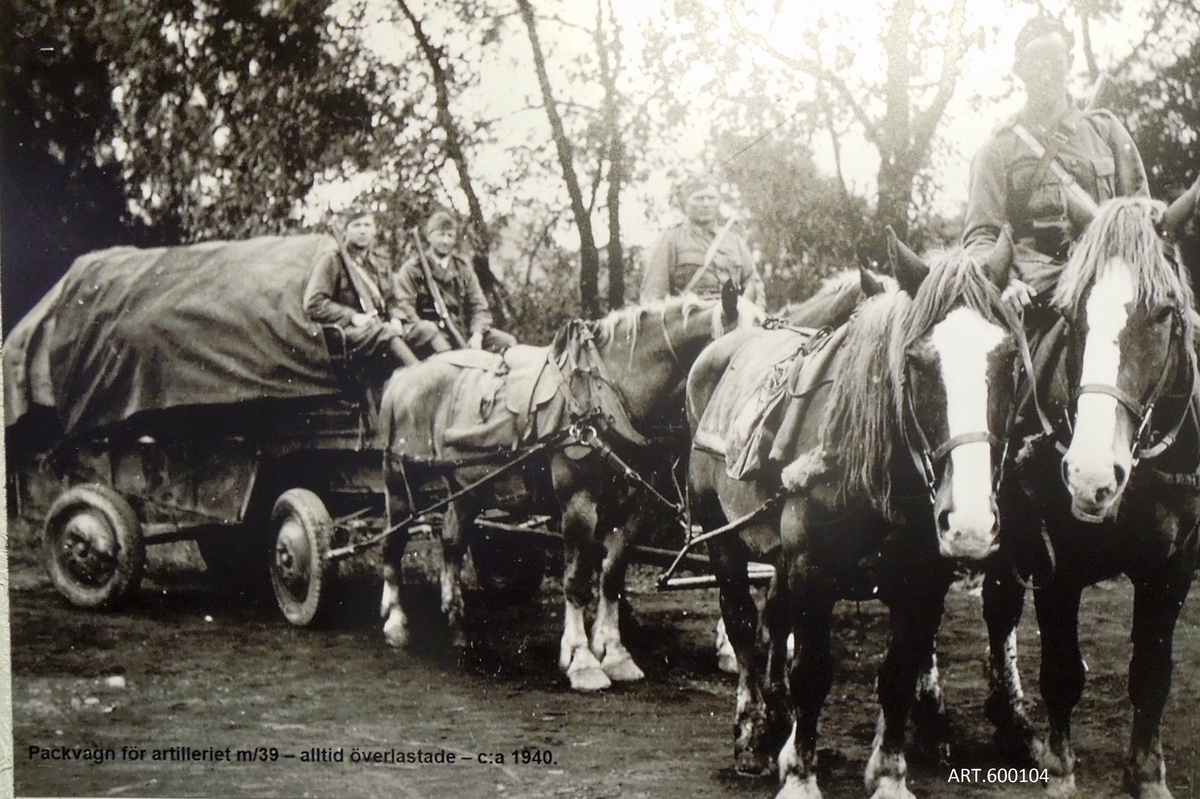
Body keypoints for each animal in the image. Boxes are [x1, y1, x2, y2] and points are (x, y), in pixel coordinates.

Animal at [379, 287, 763, 691]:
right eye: (737, 361)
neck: (607, 394)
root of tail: (405, 375)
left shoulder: (632, 506)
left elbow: (611, 577)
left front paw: (616, 653)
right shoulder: (578, 504)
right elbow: (577, 582)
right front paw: (582, 660)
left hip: (467, 487)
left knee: (451, 542)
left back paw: (456, 624)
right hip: (399, 482)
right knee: (393, 543)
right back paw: (396, 623)